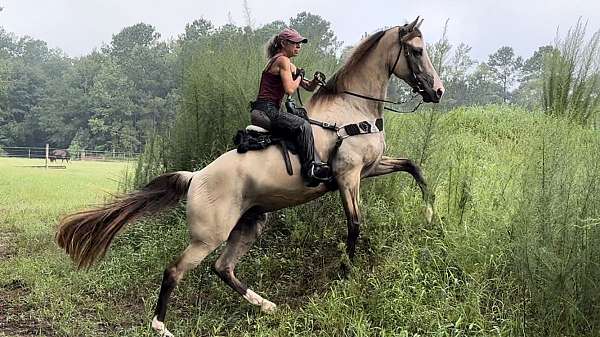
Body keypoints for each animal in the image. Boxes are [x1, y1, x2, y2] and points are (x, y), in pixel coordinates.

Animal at [56, 18, 446, 336]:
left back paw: (267, 305)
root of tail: (195, 177)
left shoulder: (371, 168)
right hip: (208, 236)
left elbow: (414, 167)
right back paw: (161, 325)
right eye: (416, 50)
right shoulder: (348, 176)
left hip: (250, 223)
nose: (438, 90)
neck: (351, 110)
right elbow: (354, 225)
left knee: (223, 268)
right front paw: (345, 274)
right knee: (175, 271)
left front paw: (430, 215)